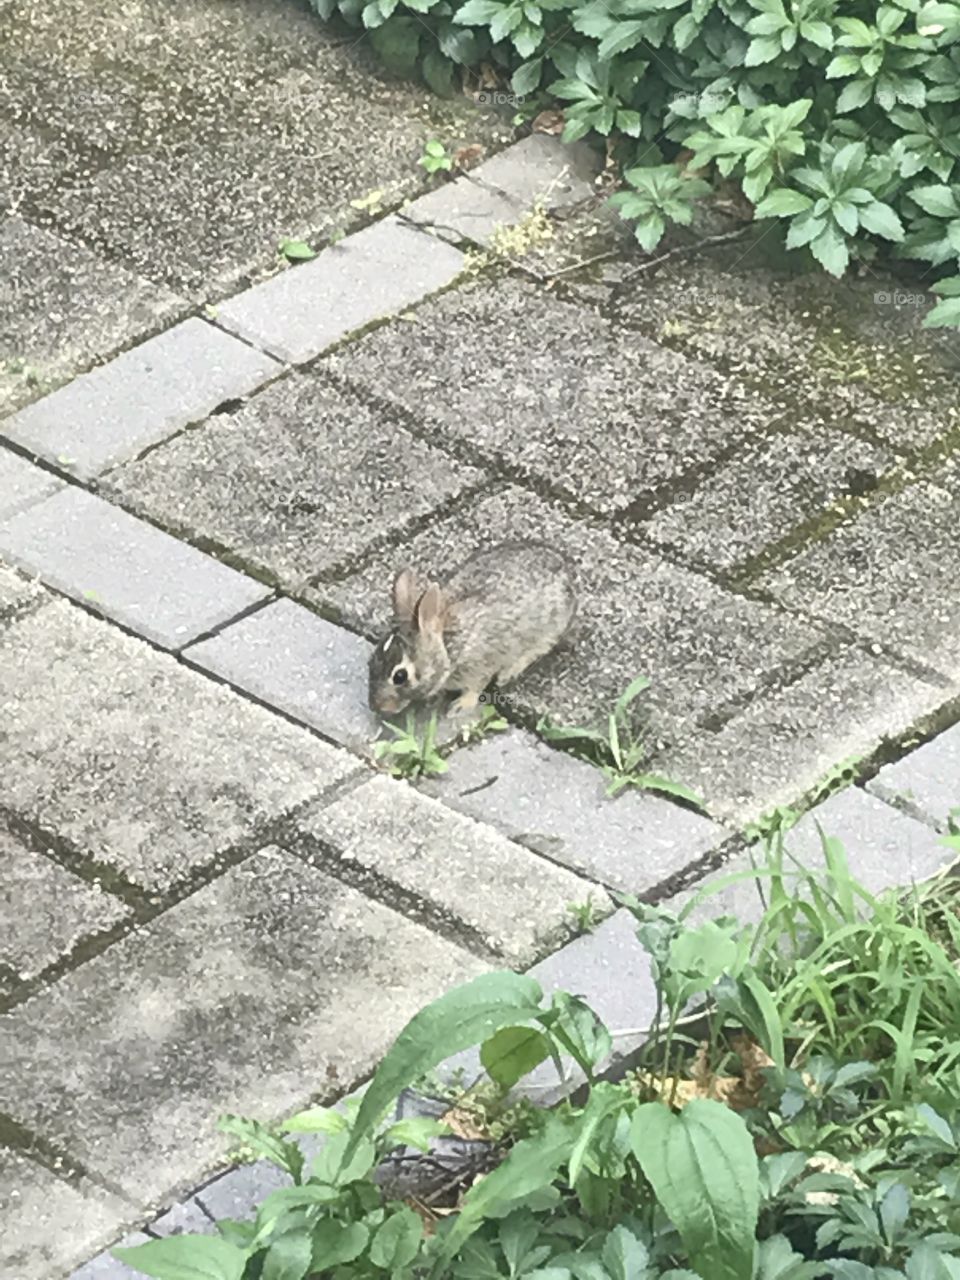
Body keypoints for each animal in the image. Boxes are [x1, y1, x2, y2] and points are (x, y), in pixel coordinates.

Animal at [367, 540, 577, 716]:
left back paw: (507, 673)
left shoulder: (480, 665)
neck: (448, 646)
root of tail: (564, 568)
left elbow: (476, 687)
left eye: (400, 676)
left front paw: (459, 706)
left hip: (549, 627)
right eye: (370, 662)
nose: (377, 707)